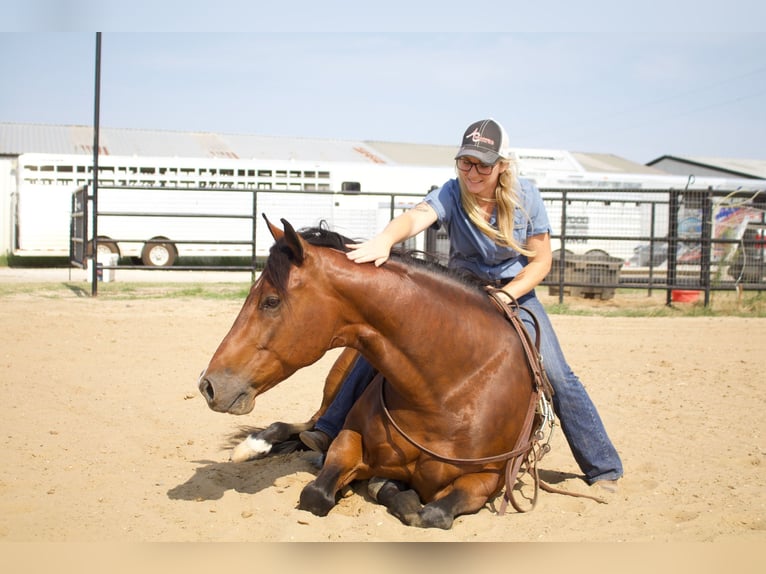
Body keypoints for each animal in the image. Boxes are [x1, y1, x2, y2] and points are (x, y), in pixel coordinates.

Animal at [198, 217, 552, 532]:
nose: (208, 385)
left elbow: (433, 514)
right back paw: (254, 446)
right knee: (305, 428)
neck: (451, 392)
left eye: (271, 301)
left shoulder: (488, 478)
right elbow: (316, 494)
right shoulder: (348, 439)